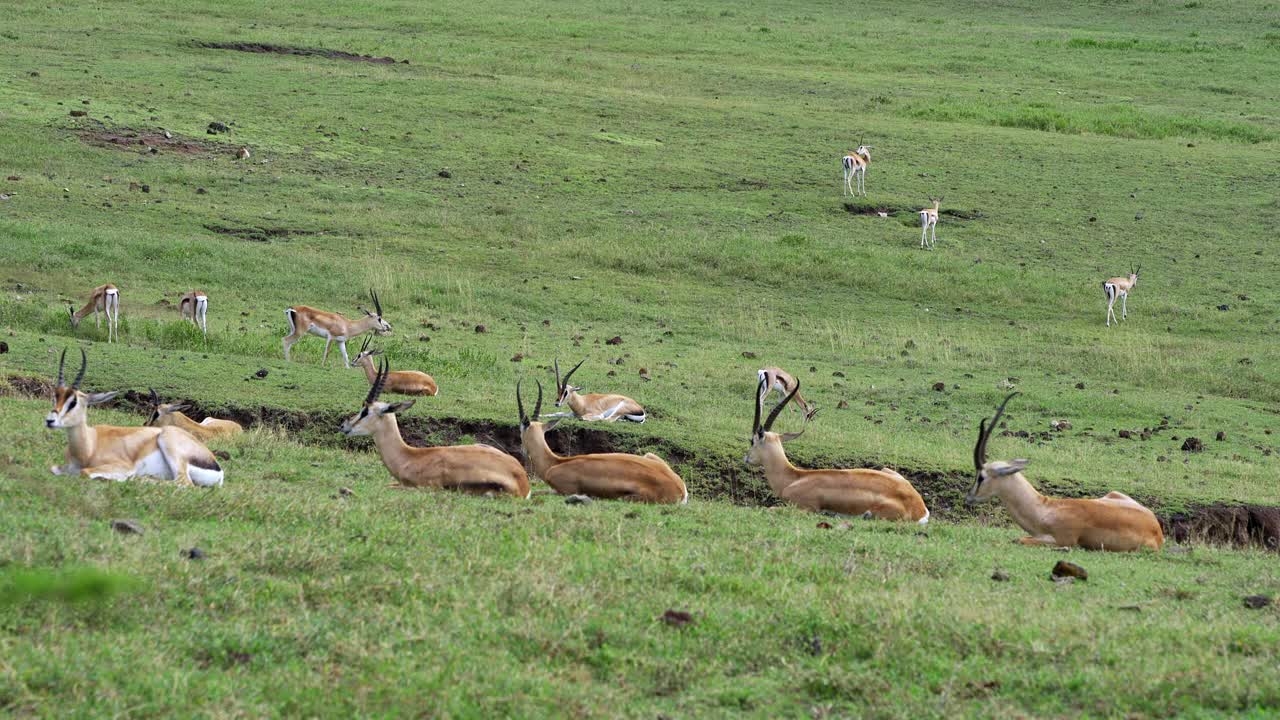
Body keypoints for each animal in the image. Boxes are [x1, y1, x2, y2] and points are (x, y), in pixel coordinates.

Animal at [45, 349, 224, 486]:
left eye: (73, 402)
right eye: (56, 396)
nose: (50, 420)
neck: (90, 446)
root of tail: (218, 468)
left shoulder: (123, 466)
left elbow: (86, 472)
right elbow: (53, 468)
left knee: (183, 483)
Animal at [518, 380, 687, 504]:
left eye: (520, 431)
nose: (522, 452)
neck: (554, 463)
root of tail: (680, 489)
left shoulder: (561, 491)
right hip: (649, 455)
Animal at [967, 392, 1163, 551]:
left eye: (981, 477)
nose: (968, 497)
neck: (1046, 510)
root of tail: (1157, 529)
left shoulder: (1062, 540)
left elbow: (1019, 539)